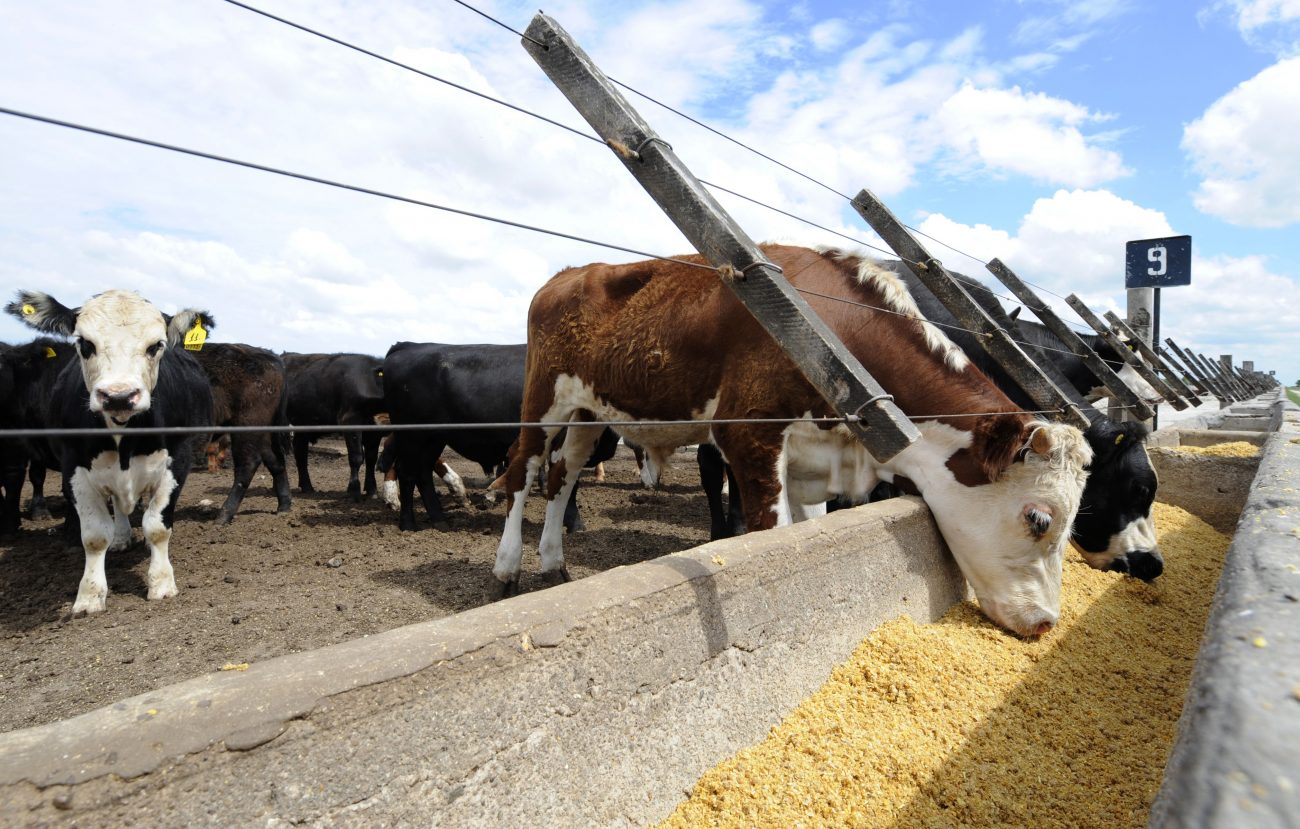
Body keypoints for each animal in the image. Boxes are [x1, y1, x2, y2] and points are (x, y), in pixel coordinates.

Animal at [5, 292, 213, 618]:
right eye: (85, 344)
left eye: (156, 345)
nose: (119, 396)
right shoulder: (74, 467)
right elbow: (94, 535)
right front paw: (90, 595)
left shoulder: (179, 459)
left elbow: (157, 526)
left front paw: (161, 583)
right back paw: (121, 538)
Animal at [189, 343, 292, 524]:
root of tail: (271, 357)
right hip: (262, 432)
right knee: (275, 460)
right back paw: (284, 507)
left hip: (246, 425)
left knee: (248, 463)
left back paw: (223, 516)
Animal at [280, 353, 384, 504]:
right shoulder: (350, 421)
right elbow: (357, 457)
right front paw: (353, 491)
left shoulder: (374, 432)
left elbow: (371, 459)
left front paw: (371, 490)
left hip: (302, 423)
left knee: (300, 451)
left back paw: (307, 486)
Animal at [491, 244, 1092, 639]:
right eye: (1039, 518)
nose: (1047, 624)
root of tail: (568, 273)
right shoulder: (748, 435)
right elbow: (769, 533)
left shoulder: (813, 459)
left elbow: (808, 529)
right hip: (543, 399)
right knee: (523, 469)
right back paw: (507, 569)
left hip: (588, 413)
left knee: (562, 475)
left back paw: (553, 563)